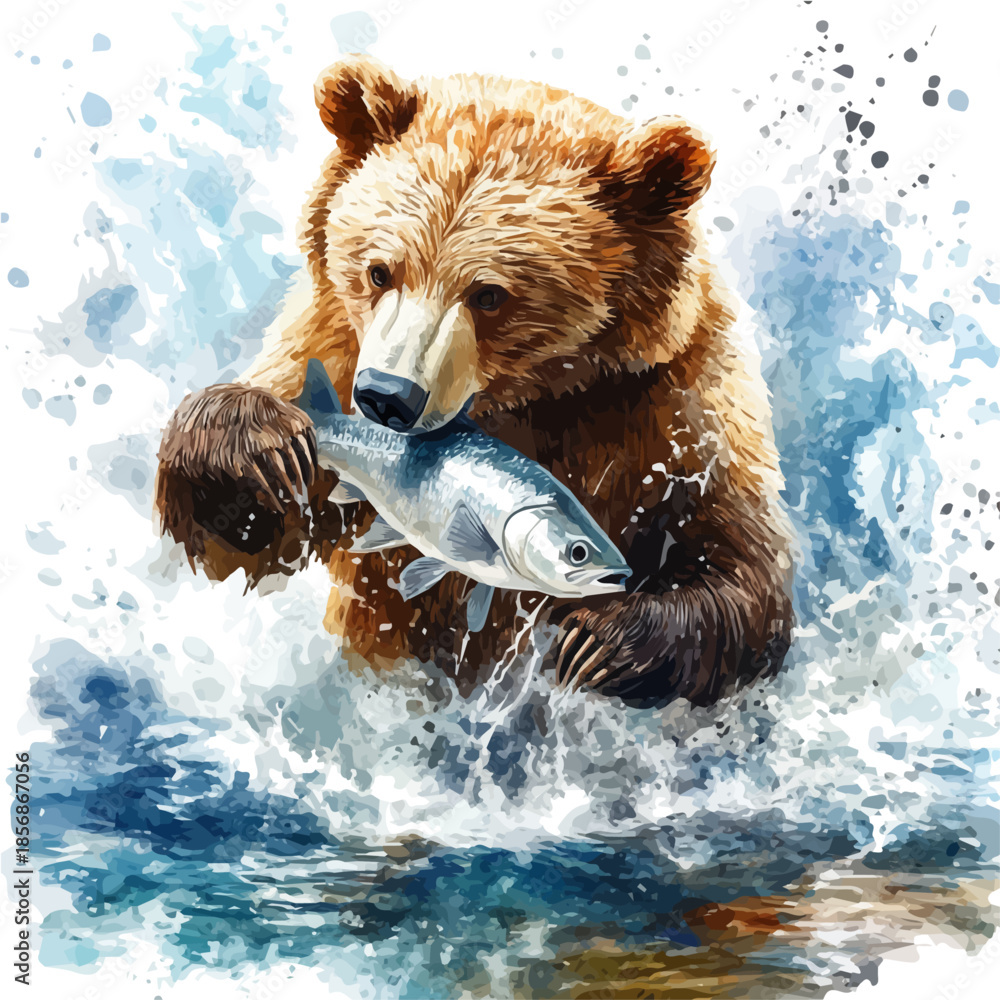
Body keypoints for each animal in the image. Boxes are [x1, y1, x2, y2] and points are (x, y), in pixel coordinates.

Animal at [155, 55, 793, 706]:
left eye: (489, 295)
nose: (386, 398)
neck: (529, 397)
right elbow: (252, 543)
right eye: (380, 270)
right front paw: (259, 448)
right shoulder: (332, 343)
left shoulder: (670, 409)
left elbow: (740, 565)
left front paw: (597, 643)